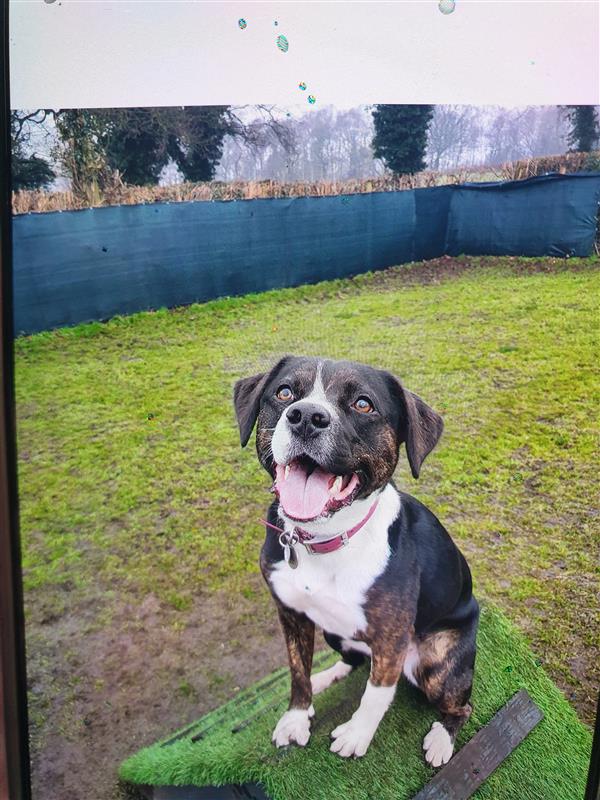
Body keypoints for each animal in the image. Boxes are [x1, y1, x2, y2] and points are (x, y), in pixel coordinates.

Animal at [233, 355, 479, 764]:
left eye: (363, 404)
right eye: (284, 392)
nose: (306, 416)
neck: (326, 541)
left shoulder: (392, 638)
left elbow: (376, 694)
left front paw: (356, 734)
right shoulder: (292, 613)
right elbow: (297, 670)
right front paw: (297, 717)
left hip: (437, 665)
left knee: (460, 705)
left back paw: (442, 739)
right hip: (334, 632)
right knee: (352, 660)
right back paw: (326, 676)